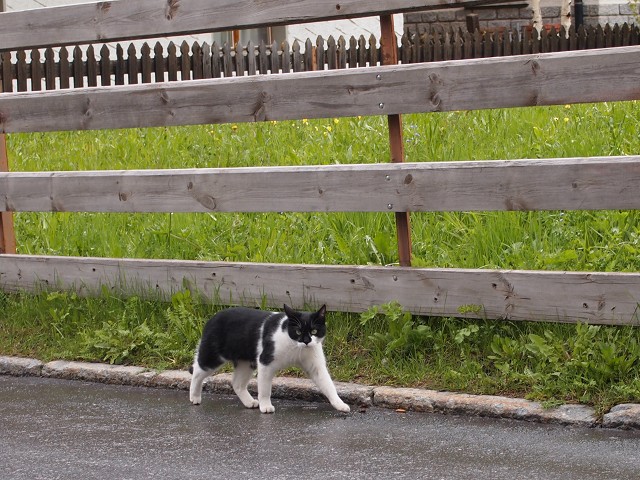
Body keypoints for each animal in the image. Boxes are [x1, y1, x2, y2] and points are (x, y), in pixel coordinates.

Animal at [190, 304, 350, 412]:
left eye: (314, 331)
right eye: (298, 331)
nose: (306, 341)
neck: (296, 348)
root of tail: (212, 318)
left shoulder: (316, 365)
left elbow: (328, 385)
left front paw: (340, 404)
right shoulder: (265, 362)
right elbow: (265, 388)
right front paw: (266, 406)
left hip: (245, 362)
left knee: (237, 383)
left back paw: (249, 402)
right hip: (213, 355)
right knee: (197, 370)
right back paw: (195, 397)